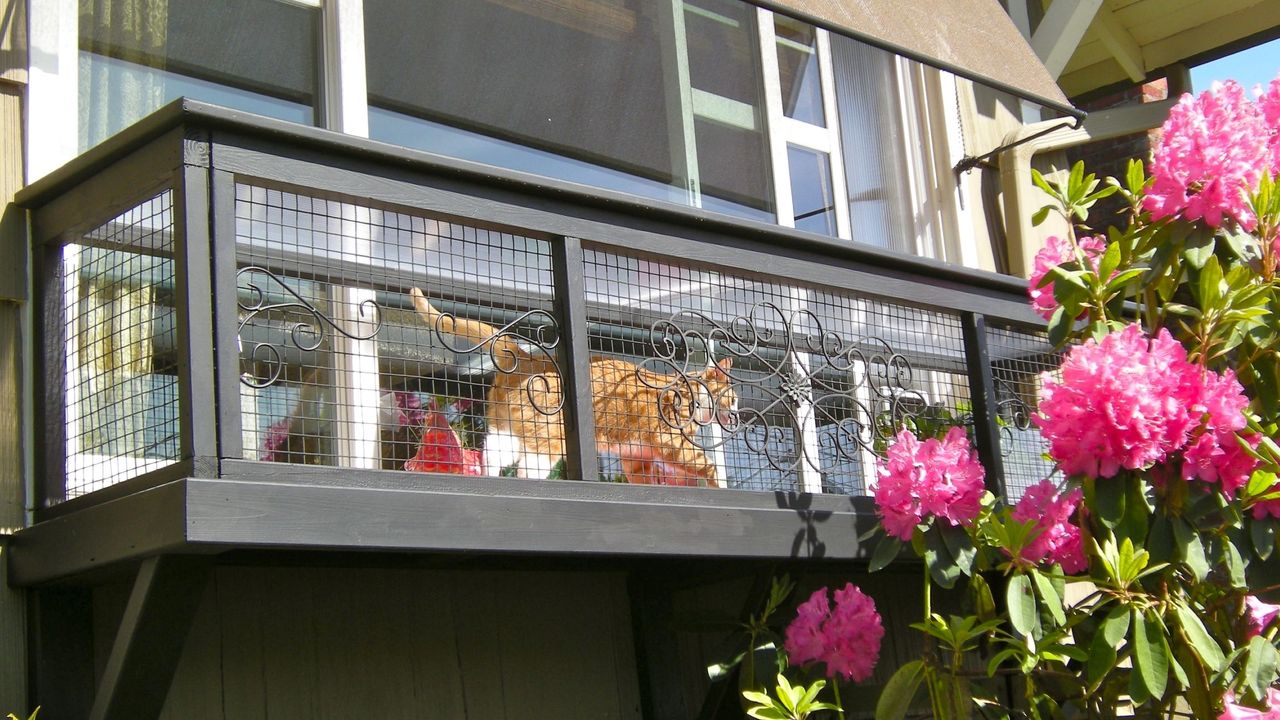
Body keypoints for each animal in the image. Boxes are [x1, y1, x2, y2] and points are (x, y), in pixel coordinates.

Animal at [404, 286, 737, 486]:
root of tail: (526, 356)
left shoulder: (636, 457)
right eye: (733, 399)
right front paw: (718, 483)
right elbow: (707, 464)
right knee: (528, 469)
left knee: (493, 456)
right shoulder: (672, 442)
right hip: (549, 440)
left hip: (506, 431)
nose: (736, 417)